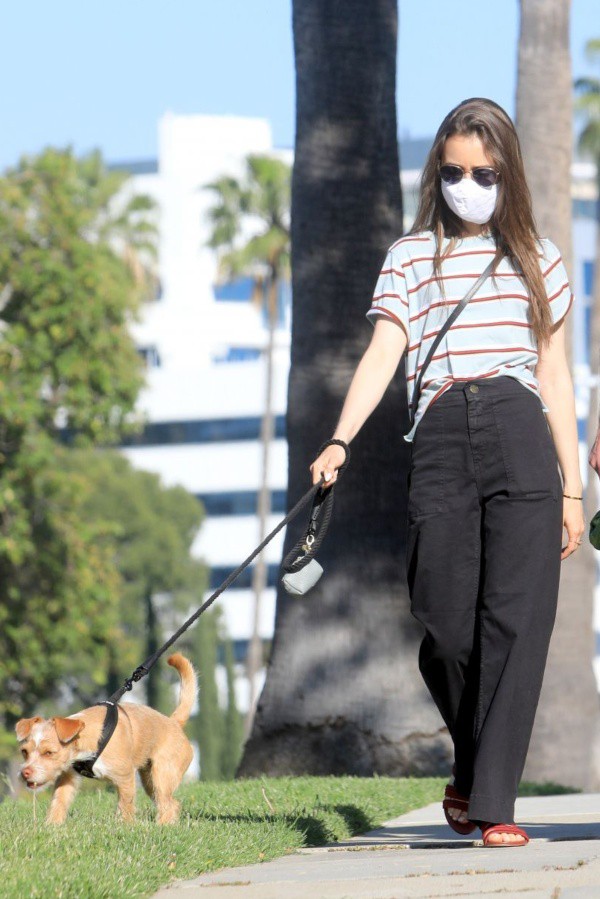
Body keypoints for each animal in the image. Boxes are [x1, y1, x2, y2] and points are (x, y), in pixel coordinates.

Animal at [15, 652, 196, 824]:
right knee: (170, 803)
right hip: (149, 779)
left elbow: (126, 804)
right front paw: (52, 824)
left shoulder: (125, 776)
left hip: (162, 775)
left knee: (168, 802)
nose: (25, 773)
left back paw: (162, 825)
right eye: (24, 752)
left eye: (49, 753)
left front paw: (125, 826)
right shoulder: (68, 776)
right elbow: (59, 800)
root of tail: (173, 722)